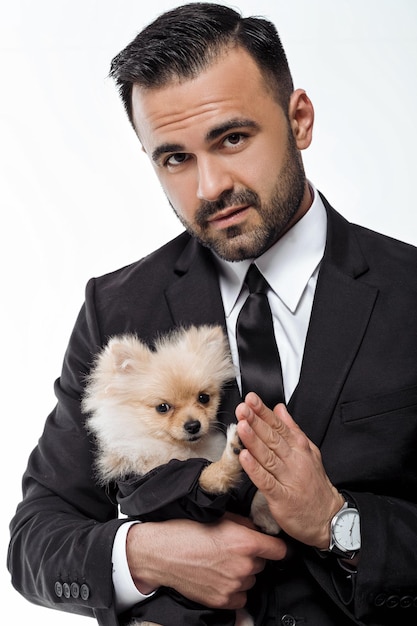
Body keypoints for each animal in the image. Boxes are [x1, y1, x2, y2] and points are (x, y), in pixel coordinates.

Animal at [82, 324, 276, 620]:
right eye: (163, 407)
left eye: (203, 398)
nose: (193, 425)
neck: (183, 450)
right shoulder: (169, 490)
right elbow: (210, 475)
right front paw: (232, 451)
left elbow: (248, 496)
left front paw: (268, 513)